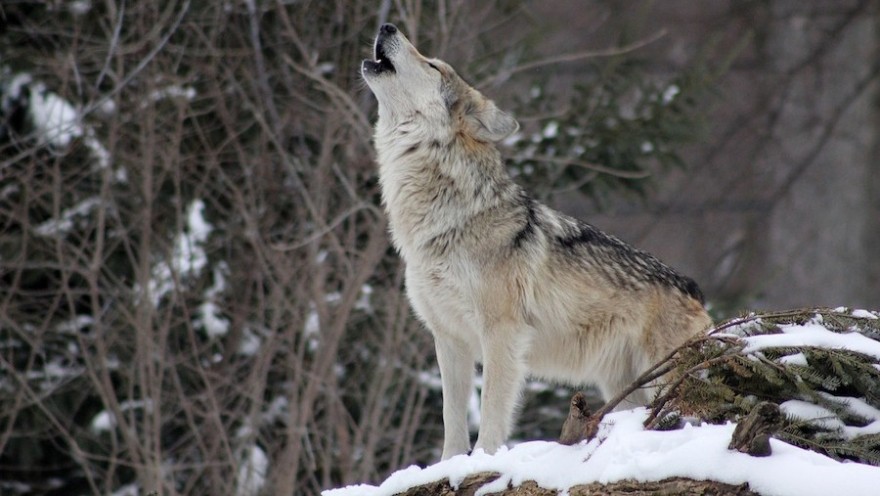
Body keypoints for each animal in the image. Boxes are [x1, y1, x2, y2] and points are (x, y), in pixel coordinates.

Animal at [360, 21, 712, 460]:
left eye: (433, 65)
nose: (386, 25)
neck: (445, 221)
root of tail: (694, 289)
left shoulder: (502, 333)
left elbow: (491, 411)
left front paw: (483, 460)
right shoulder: (449, 339)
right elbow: (451, 420)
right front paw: (449, 465)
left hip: (664, 380)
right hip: (624, 389)